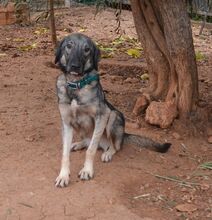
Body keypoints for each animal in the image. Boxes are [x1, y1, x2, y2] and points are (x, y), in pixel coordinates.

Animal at [54, 33, 171, 187]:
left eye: (87, 49)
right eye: (69, 45)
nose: (75, 66)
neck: (76, 85)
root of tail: (124, 134)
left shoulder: (102, 116)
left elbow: (91, 150)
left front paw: (87, 170)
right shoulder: (66, 123)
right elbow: (64, 154)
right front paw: (63, 175)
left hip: (114, 117)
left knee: (113, 146)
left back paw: (108, 153)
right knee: (88, 140)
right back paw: (78, 144)